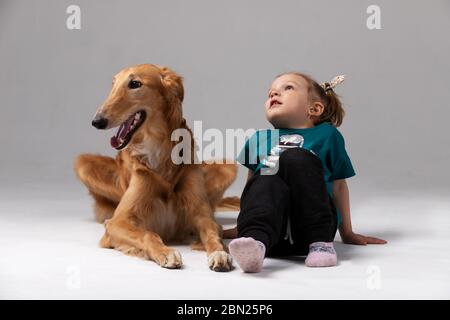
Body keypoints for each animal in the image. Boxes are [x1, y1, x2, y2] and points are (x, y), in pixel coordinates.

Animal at [74, 63, 239, 272]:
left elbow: (213, 233)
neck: (157, 148)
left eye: (135, 84)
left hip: (229, 167)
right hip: (82, 163)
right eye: (113, 85)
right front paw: (166, 253)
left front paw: (219, 253)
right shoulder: (117, 223)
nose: (96, 121)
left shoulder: (203, 215)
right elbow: (148, 234)